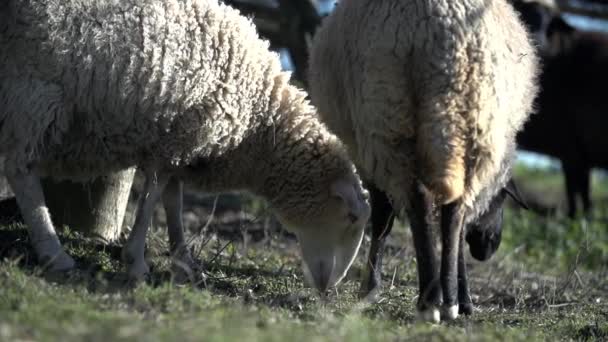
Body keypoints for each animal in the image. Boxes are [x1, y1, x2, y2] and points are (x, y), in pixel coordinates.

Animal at [0, 0, 370, 292]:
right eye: (351, 217)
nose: (331, 288)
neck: (259, 123)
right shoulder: (175, 139)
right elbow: (153, 197)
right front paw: (137, 262)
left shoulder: (182, 143)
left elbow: (172, 201)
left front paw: (184, 261)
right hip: (33, 89)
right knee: (21, 171)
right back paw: (54, 252)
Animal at [308, 0, 536, 320]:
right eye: (502, 197)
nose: (490, 246)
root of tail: (439, 33)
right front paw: (464, 300)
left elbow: (383, 220)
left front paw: (370, 288)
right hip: (472, 122)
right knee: (453, 211)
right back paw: (446, 301)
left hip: (389, 118)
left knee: (420, 202)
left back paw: (430, 302)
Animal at [510, 0, 604, 218]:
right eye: (520, 12)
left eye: (550, 22)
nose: (536, 40)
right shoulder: (574, 150)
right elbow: (579, 191)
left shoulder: (571, 147)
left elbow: (579, 192)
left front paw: (580, 218)